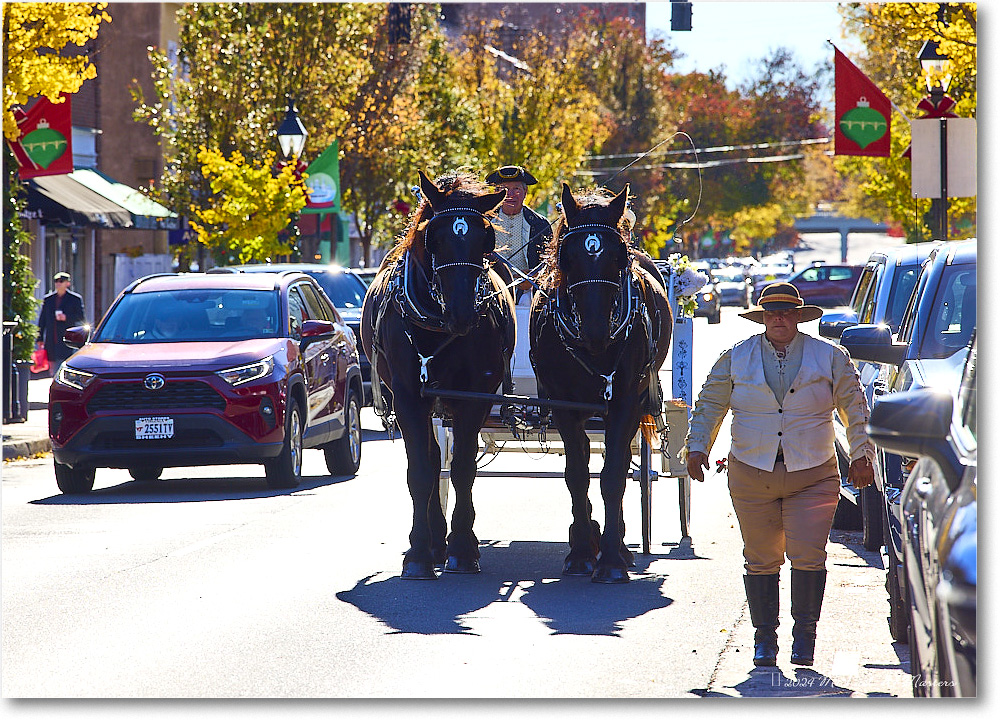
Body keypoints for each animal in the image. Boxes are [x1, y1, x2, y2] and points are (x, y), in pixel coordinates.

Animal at [362, 170, 516, 580]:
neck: (437, 325)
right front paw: (419, 552)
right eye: (437, 237)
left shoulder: (474, 396)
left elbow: (463, 468)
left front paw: (462, 547)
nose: (463, 314)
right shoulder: (407, 396)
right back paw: (432, 542)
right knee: (431, 462)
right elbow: (420, 471)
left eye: (484, 239)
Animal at [528, 183, 676, 584]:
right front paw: (581, 552)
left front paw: (610, 559)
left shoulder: (625, 402)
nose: (595, 332)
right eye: (568, 258)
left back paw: (621, 546)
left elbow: (612, 477)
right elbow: (577, 475)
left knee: (621, 464)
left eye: (618, 258)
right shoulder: (563, 405)